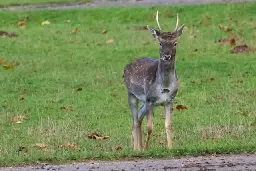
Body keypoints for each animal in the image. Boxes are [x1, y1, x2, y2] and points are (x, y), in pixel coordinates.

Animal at [122, 11, 184, 150]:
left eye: (175, 43)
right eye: (160, 42)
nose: (166, 56)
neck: (164, 87)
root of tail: (126, 66)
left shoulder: (169, 100)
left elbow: (168, 125)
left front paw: (170, 148)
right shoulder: (150, 99)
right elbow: (150, 127)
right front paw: (146, 148)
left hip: (145, 102)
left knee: (138, 119)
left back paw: (138, 146)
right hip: (132, 94)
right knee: (135, 121)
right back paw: (136, 148)